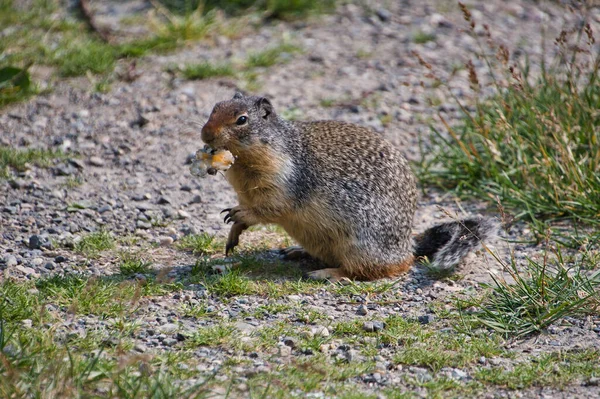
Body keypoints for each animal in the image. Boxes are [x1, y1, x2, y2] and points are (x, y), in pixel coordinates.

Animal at [199, 93, 494, 282]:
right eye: (214, 107)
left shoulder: (282, 180)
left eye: (242, 119)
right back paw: (297, 252)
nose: (205, 134)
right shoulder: (245, 189)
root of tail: (408, 245)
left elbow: (271, 208)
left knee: (370, 270)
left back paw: (326, 274)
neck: (243, 163)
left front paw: (239, 215)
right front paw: (233, 233)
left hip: (360, 243)